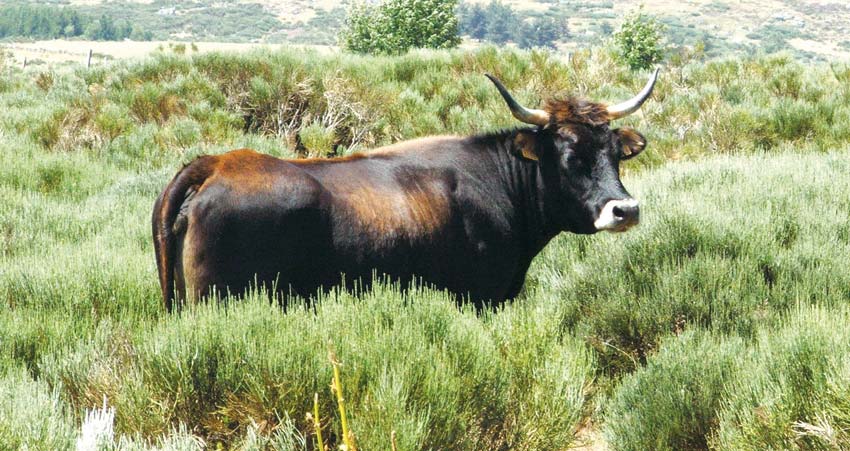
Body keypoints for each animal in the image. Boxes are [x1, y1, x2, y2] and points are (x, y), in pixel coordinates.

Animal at [153, 70, 659, 312]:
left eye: (614, 153)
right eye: (569, 156)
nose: (625, 209)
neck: (498, 183)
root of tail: (217, 163)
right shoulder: (480, 298)